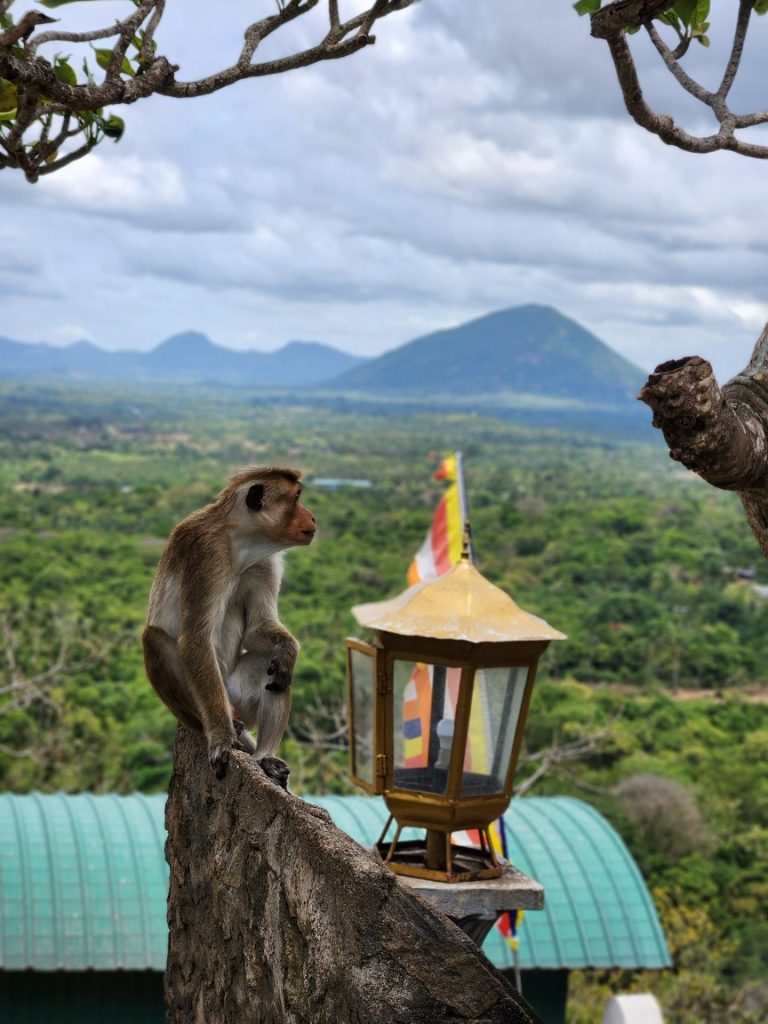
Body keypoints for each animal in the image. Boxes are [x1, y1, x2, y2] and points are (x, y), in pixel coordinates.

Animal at [143, 468, 313, 786]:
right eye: (296, 498)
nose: (312, 517)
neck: (241, 545)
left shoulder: (266, 563)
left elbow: (257, 630)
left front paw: (288, 648)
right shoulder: (207, 554)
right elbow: (195, 639)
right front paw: (221, 739)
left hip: (238, 697)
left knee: (272, 668)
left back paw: (264, 759)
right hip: (207, 702)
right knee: (153, 638)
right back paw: (218, 728)